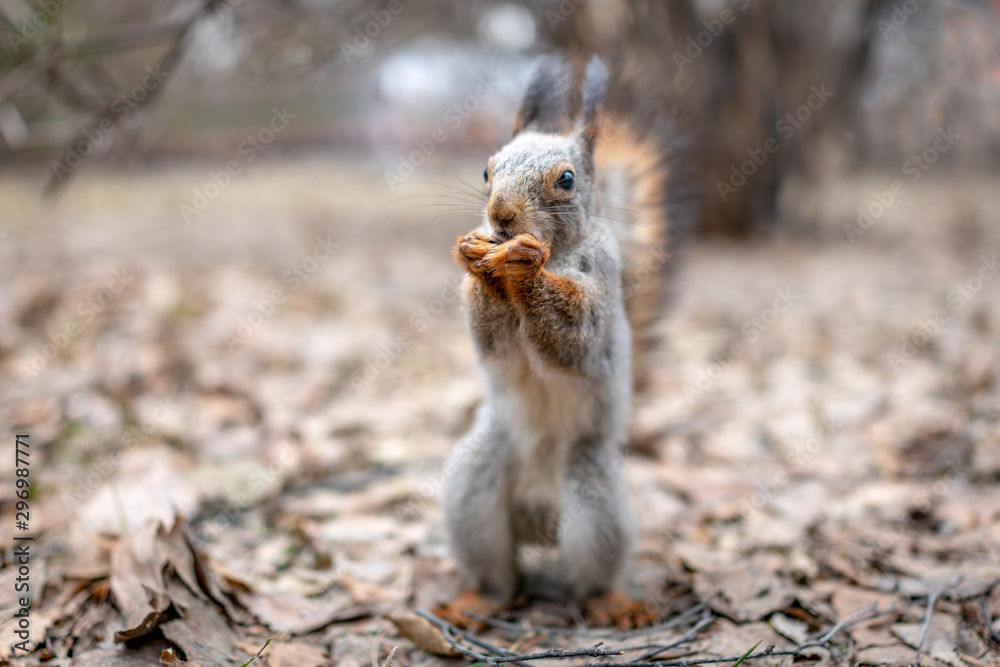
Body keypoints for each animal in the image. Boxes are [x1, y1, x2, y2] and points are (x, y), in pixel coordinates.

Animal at [436, 54, 697, 630]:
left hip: (592, 492)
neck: (560, 252)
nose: (501, 216)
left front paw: (522, 265)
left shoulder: (599, 297)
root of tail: (539, 514)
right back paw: (478, 600)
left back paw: (611, 603)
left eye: (567, 179)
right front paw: (476, 257)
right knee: (499, 574)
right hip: (473, 485)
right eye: (487, 170)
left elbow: (577, 341)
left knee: (588, 573)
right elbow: (492, 343)